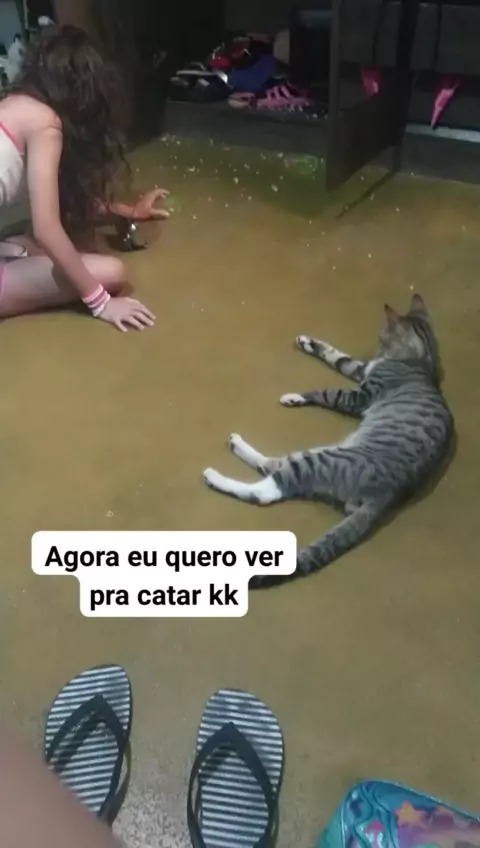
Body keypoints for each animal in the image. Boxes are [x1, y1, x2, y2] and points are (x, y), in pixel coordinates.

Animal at [203, 294, 454, 588]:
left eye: (382, 337)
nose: (377, 349)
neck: (422, 361)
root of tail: (386, 494)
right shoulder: (361, 370)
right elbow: (338, 357)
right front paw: (309, 343)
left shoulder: (359, 396)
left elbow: (326, 392)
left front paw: (295, 396)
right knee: (272, 472)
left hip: (320, 458)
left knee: (268, 487)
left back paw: (223, 463)